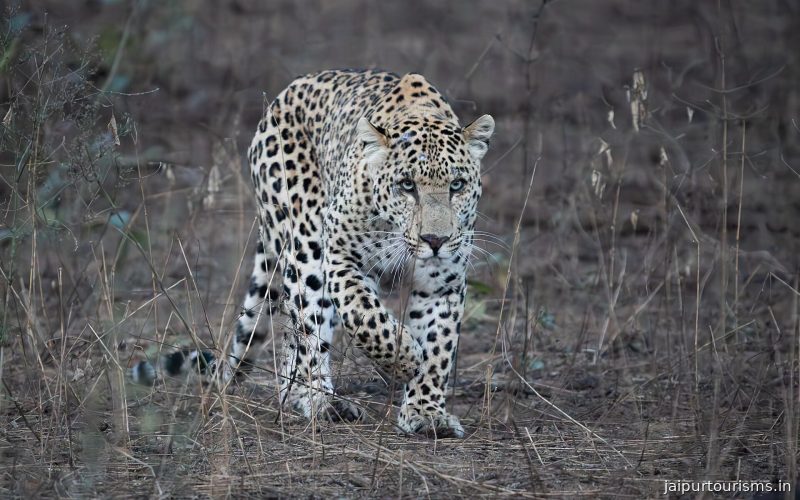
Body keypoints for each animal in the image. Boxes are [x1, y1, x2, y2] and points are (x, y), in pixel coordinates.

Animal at [132, 69, 494, 438]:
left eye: (457, 185)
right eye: (407, 186)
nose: (435, 239)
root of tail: (282, 96)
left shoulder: (444, 279)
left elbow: (438, 342)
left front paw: (426, 412)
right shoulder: (340, 256)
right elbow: (365, 316)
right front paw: (404, 358)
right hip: (305, 245)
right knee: (307, 330)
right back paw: (318, 399)